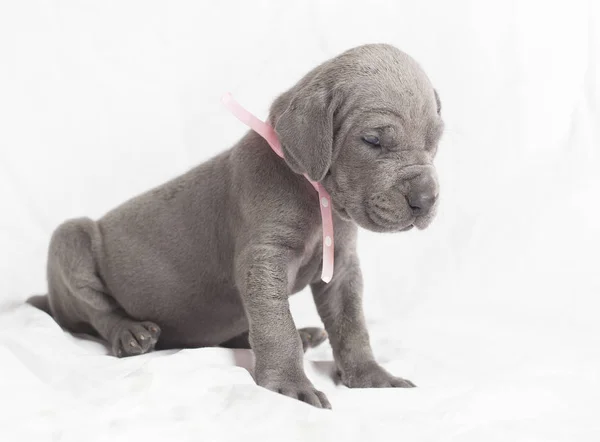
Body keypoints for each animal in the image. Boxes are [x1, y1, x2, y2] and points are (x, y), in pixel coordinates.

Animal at [29, 43, 440, 410]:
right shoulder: (263, 258)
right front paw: (289, 386)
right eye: (372, 140)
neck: (313, 195)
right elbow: (276, 325)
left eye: (435, 141)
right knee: (98, 312)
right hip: (71, 238)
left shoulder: (340, 265)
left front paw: (371, 376)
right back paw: (130, 333)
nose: (426, 199)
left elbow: (351, 324)